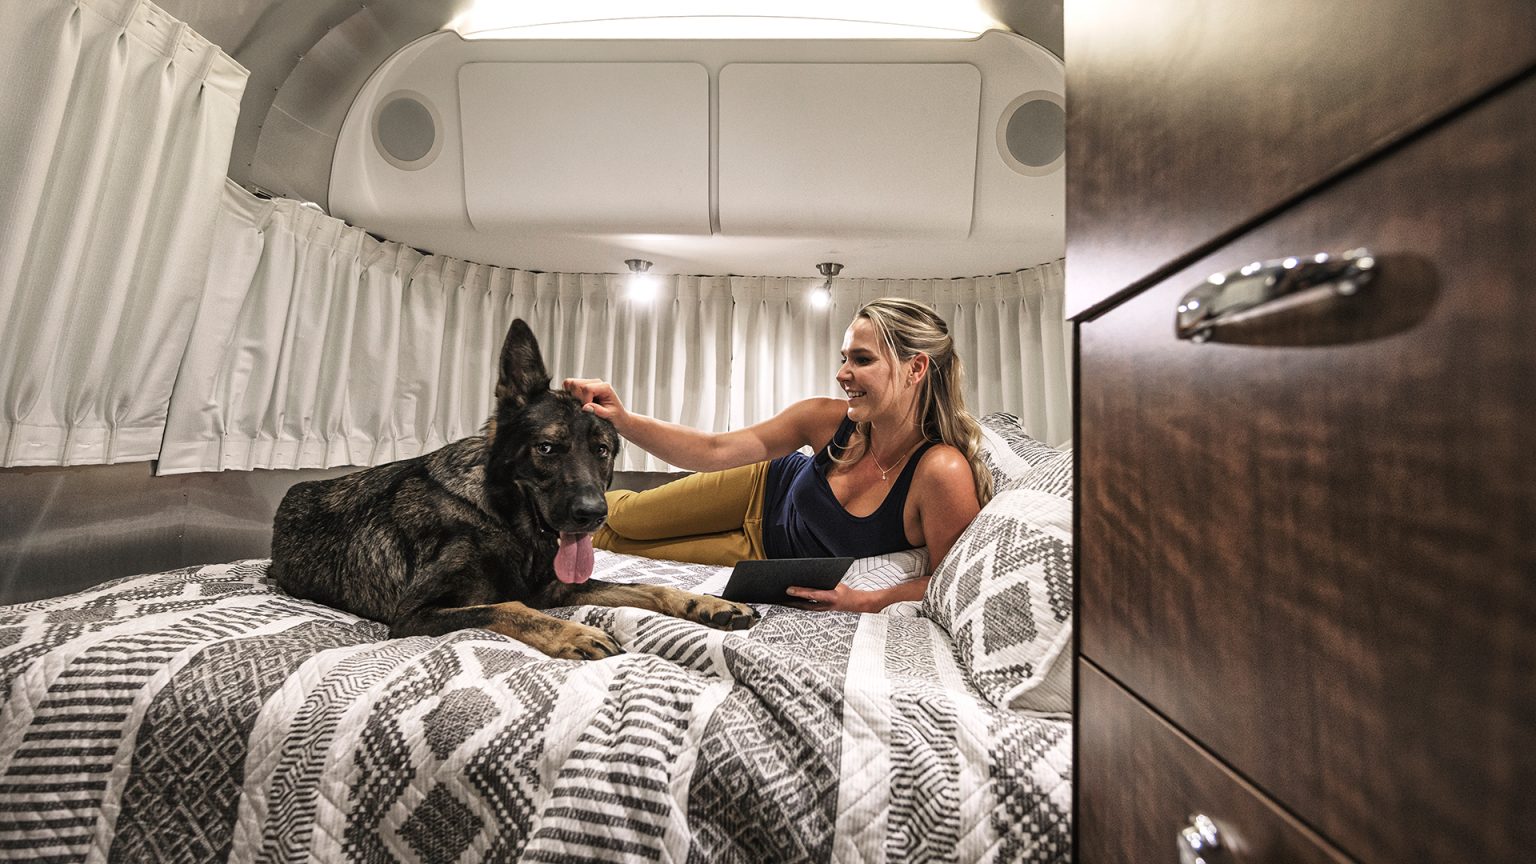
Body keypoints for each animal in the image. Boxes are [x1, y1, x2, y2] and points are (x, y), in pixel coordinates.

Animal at [269, 318, 757, 659]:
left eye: (602, 450)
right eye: (547, 448)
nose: (593, 515)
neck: (503, 519)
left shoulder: (557, 589)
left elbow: (645, 586)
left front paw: (704, 602)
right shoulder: (414, 615)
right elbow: (511, 607)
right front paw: (574, 631)